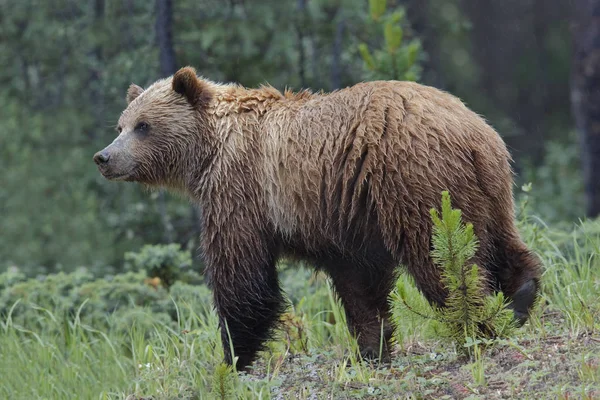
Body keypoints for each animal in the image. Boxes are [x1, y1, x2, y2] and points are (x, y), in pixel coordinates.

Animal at [95, 65, 544, 368]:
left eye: (143, 126)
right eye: (120, 124)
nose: (104, 157)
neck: (208, 152)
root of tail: (472, 131)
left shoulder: (241, 190)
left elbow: (242, 276)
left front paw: (233, 357)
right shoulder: (343, 214)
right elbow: (359, 283)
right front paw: (370, 349)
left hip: (415, 182)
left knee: (441, 259)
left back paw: (475, 324)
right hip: (486, 187)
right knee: (498, 239)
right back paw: (521, 296)